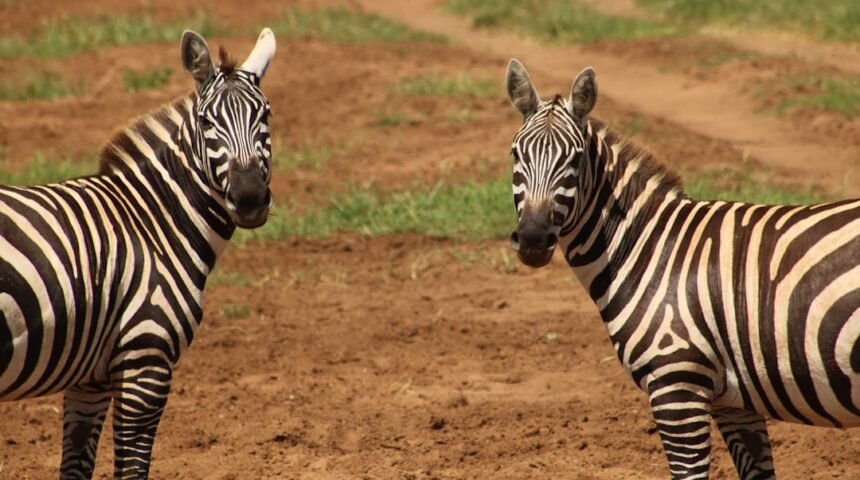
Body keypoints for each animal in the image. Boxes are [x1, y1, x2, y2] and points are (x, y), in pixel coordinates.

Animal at [0, 28, 276, 479]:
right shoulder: (146, 359)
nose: (250, 197)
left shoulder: (89, 377)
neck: (151, 222)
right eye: (206, 122)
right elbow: (132, 469)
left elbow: (76, 466)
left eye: (265, 116)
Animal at [505, 58, 860, 480]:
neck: (649, 248)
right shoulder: (733, 402)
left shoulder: (676, 384)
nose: (532, 238)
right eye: (515, 155)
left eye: (574, 160)